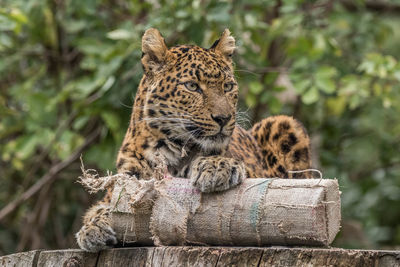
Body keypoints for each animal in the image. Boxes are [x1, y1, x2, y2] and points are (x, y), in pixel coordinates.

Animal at [75, 28, 312, 252]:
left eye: (228, 87)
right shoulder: (126, 182)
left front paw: (217, 166)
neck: (169, 150)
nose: (223, 118)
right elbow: (102, 208)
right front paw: (94, 228)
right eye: (192, 86)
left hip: (283, 124)